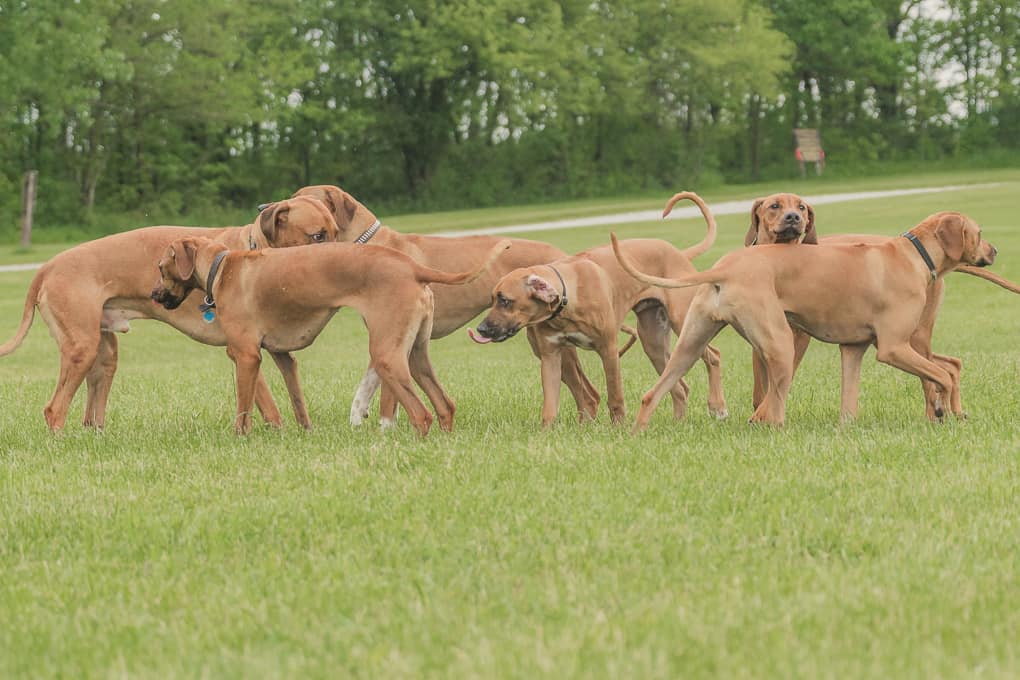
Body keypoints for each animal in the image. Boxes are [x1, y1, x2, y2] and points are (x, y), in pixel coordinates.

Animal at [0, 196, 342, 430]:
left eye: (336, 231)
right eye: (317, 235)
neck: (253, 252)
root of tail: (46, 267)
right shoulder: (243, 351)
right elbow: (268, 406)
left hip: (103, 354)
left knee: (91, 415)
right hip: (80, 348)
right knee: (54, 410)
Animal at [149, 236, 510, 434]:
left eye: (161, 268)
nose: (153, 294)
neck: (222, 267)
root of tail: (412, 267)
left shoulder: (247, 356)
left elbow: (244, 407)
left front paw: (240, 436)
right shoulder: (283, 356)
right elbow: (297, 402)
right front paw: (304, 433)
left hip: (386, 356)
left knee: (422, 415)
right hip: (415, 355)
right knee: (445, 405)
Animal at [287, 183, 599, 428]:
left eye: (302, 200)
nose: (275, 205)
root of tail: (563, 256)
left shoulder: (393, 336)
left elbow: (388, 395)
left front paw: (385, 429)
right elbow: (371, 380)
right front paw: (358, 413)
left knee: (588, 394)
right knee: (588, 393)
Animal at [467, 191, 730, 426]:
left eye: (505, 300)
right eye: (492, 299)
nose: (481, 329)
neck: (567, 300)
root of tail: (679, 253)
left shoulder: (609, 349)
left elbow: (615, 397)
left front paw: (619, 428)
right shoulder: (551, 356)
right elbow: (549, 407)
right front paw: (546, 434)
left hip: (684, 321)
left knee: (713, 356)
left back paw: (717, 407)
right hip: (653, 340)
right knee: (680, 387)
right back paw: (678, 422)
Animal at [612, 210, 995, 428]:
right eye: (979, 233)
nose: (995, 250)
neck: (914, 254)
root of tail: (725, 268)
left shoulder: (853, 348)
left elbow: (849, 403)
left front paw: (846, 428)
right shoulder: (894, 348)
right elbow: (943, 376)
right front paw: (945, 410)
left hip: (689, 344)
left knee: (653, 392)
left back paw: (638, 432)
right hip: (781, 345)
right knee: (773, 412)